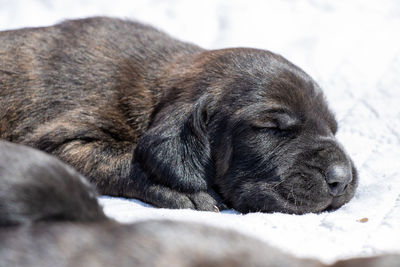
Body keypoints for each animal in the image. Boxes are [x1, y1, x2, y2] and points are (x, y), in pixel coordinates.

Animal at [0, 16, 358, 214]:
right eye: (272, 129)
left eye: (333, 128)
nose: (341, 179)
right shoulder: (59, 140)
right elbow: (123, 158)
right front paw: (186, 191)